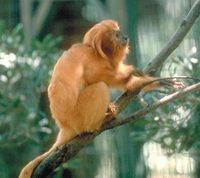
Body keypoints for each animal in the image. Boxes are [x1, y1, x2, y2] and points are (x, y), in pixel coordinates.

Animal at [19, 19, 184, 178]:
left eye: (120, 32)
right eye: (117, 35)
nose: (125, 37)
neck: (97, 52)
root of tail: (64, 125)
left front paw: (156, 80)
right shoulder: (90, 59)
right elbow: (98, 78)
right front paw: (136, 77)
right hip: (78, 116)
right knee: (100, 87)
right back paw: (102, 120)